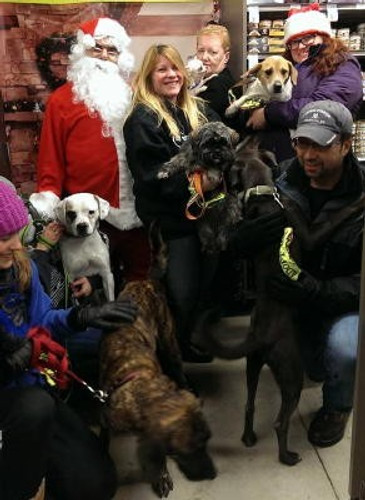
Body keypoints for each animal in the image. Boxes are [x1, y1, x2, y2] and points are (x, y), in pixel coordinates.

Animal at [99, 229, 216, 498]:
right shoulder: (106, 417)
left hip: (169, 340)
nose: (213, 475)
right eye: (186, 451)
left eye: (208, 442)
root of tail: (146, 279)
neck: (141, 385)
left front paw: (161, 475)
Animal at [158, 121, 240, 254]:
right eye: (208, 143)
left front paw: (213, 173)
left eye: (223, 142)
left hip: (231, 210)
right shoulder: (185, 157)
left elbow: (217, 167)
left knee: (225, 229)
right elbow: (176, 161)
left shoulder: (226, 161)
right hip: (202, 222)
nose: (217, 151)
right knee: (207, 235)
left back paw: (221, 242)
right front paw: (165, 170)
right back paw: (210, 246)